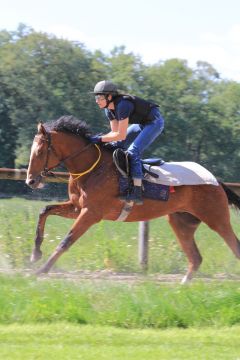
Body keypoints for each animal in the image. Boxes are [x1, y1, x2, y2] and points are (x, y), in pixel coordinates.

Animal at [24, 114, 240, 282]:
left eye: (40, 151)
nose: (31, 180)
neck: (92, 168)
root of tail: (216, 181)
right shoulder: (77, 207)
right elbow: (45, 210)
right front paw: (35, 254)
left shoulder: (91, 213)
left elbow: (67, 239)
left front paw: (41, 270)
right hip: (181, 221)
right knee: (195, 258)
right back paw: (183, 286)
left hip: (216, 218)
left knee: (234, 247)